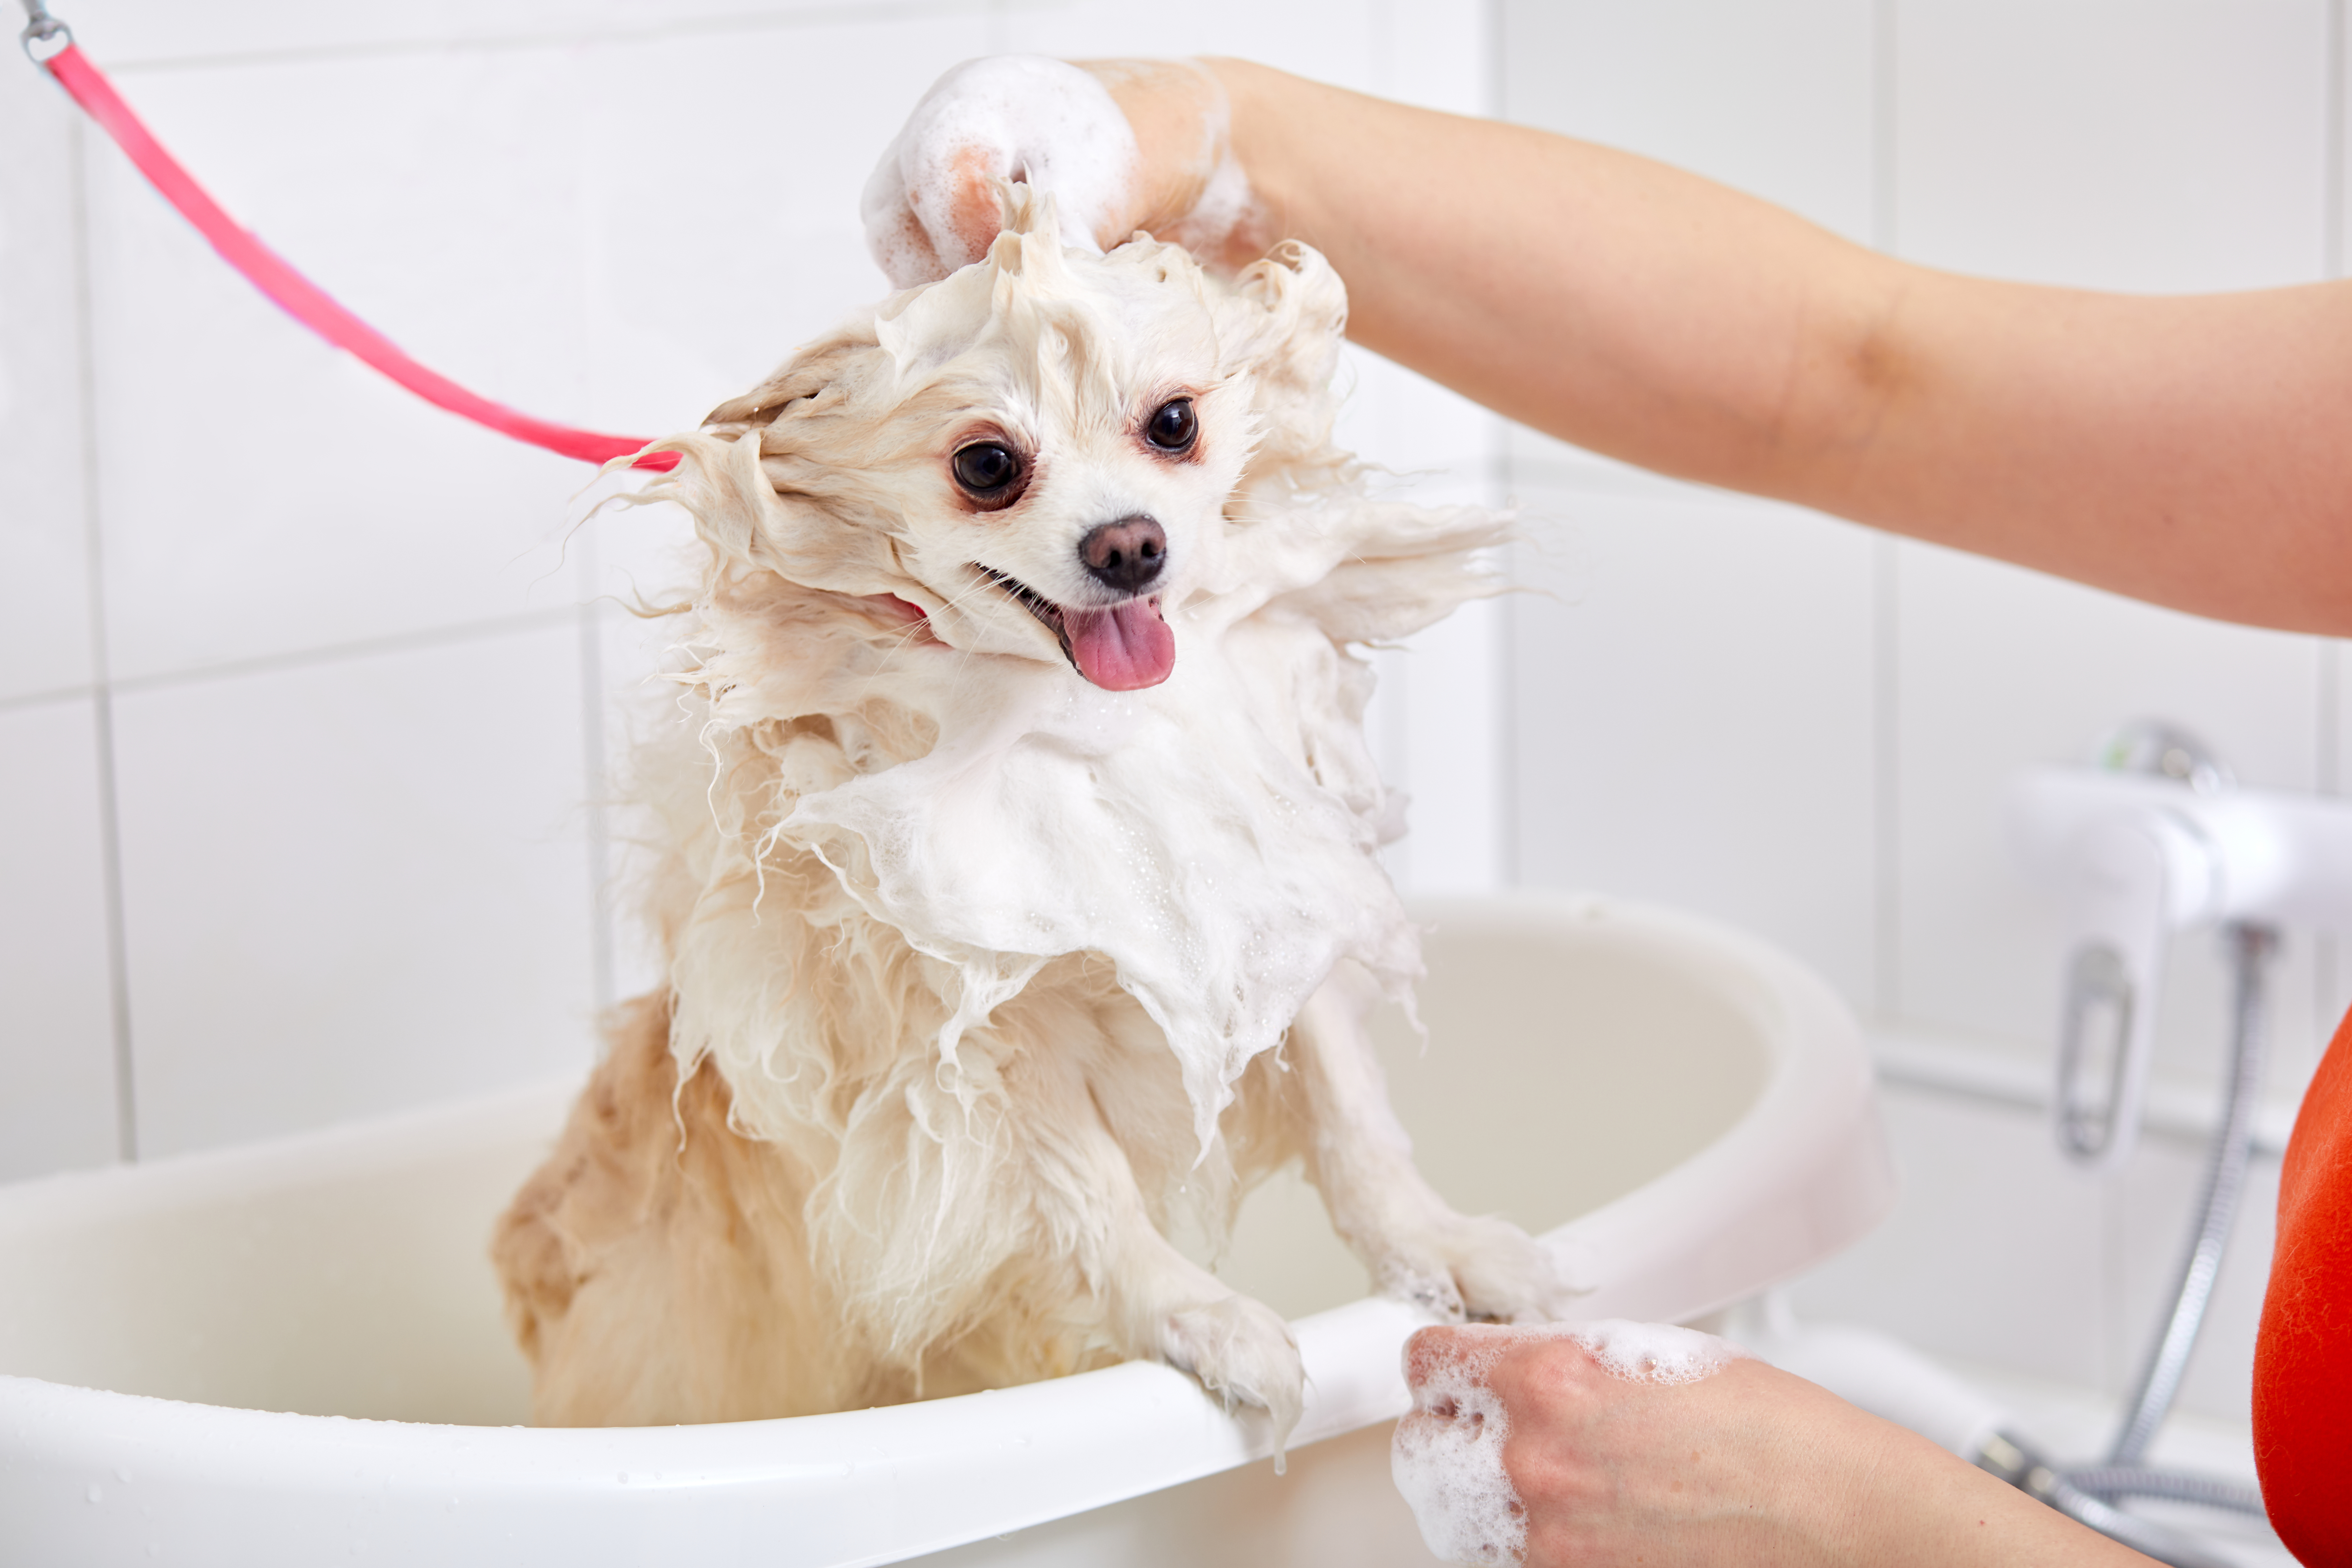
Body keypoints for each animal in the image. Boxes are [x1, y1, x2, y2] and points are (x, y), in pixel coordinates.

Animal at [487, 190, 1571, 1438]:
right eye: (988, 465)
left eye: (1172, 424)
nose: (1130, 543)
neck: (1080, 725)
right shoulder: (979, 1023)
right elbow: (1085, 1189)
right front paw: (1199, 1317)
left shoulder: (1257, 918)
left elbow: (1356, 1124)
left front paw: (1442, 1247)